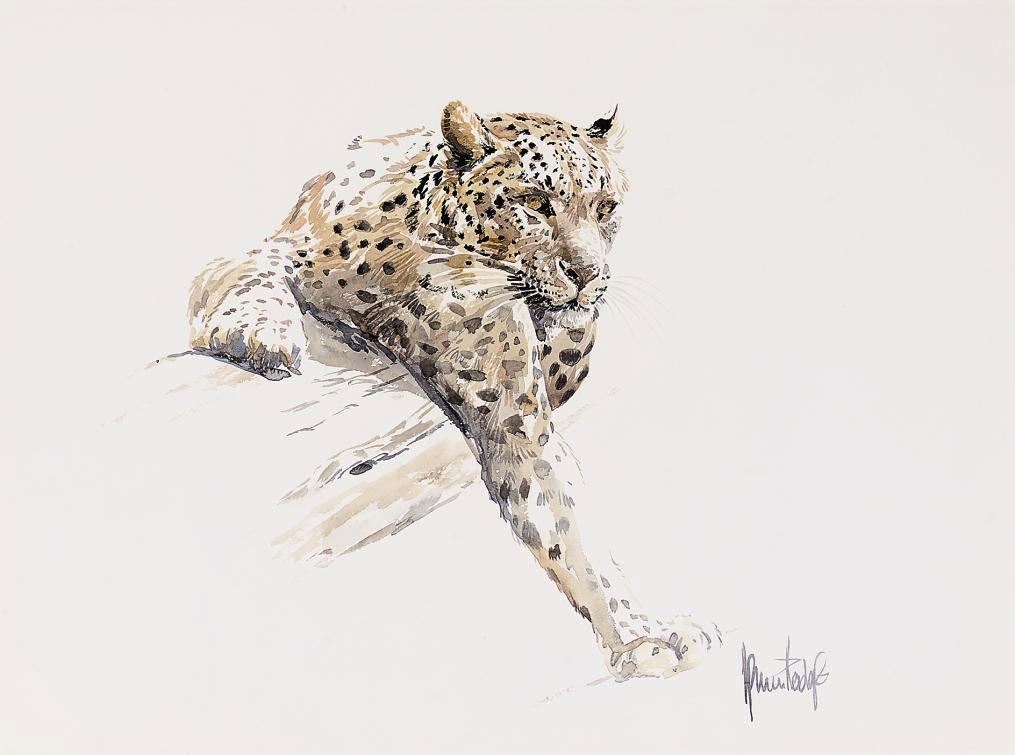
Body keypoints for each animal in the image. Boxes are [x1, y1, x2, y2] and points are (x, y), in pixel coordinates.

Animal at [188, 101, 720, 680]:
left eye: (605, 208)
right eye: (535, 203)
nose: (587, 273)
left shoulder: (514, 410)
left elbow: (562, 512)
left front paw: (641, 633)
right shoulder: (260, 252)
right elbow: (255, 275)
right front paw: (258, 335)